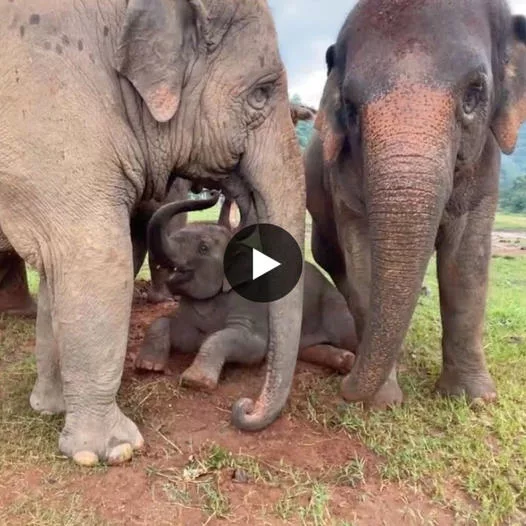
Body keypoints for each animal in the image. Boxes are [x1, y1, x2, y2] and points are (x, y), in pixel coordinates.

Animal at [0, 0, 306, 468]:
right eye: (261, 92)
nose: (243, 409)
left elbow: (59, 275)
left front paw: (50, 409)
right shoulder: (54, 120)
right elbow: (99, 258)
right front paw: (112, 451)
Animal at [135, 193, 358, 392]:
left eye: (203, 248)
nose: (214, 193)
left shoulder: (252, 302)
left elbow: (246, 342)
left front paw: (196, 382)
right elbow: (180, 331)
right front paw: (147, 367)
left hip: (333, 305)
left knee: (349, 334)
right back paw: (344, 360)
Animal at [304, 0, 526, 410]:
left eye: (474, 93)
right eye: (350, 107)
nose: (345, 381)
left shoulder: (485, 164)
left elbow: (467, 264)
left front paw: (473, 400)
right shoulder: (343, 175)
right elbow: (363, 257)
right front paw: (381, 403)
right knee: (334, 261)